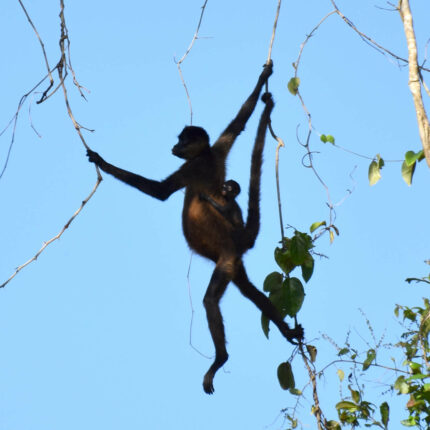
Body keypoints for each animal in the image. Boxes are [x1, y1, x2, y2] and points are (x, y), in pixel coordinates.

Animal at [86, 62, 302, 394]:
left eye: (182, 140)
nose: (174, 146)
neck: (205, 155)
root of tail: (239, 239)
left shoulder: (192, 166)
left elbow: (161, 191)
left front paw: (102, 161)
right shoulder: (218, 149)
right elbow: (239, 122)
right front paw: (262, 79)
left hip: (225, 259)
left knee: (210, 300)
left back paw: (220, 359)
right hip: (234, 262)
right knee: (250, 291)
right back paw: (285, 330)